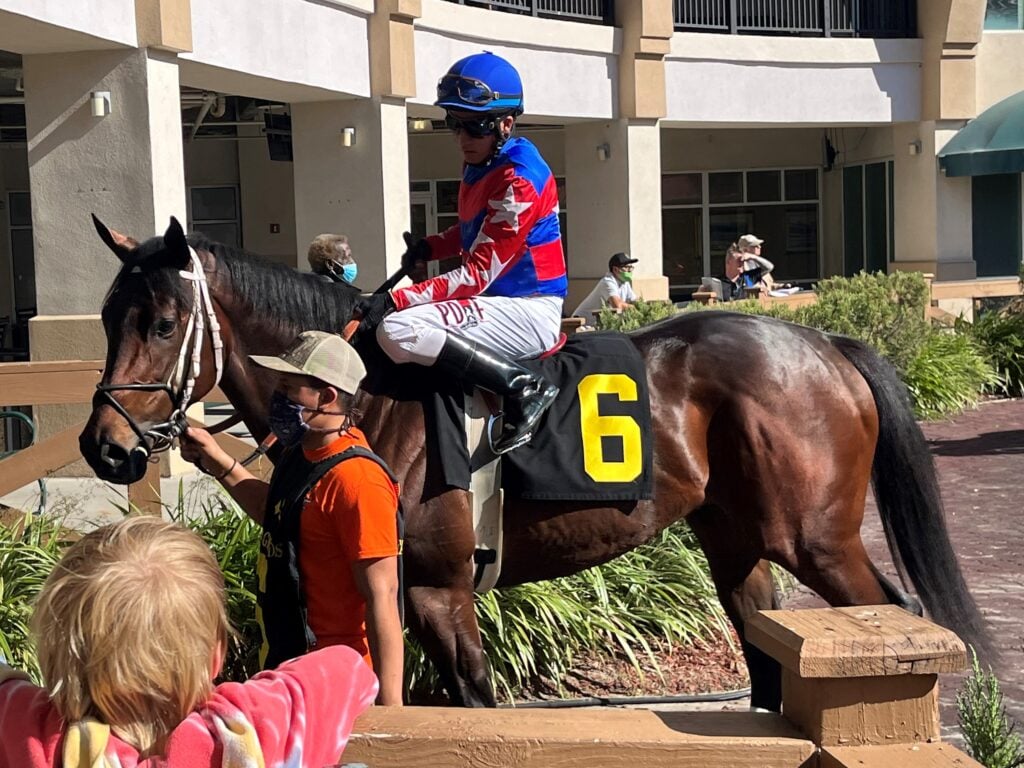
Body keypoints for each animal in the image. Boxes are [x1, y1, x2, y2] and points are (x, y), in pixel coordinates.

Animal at [79, 217, 991, 708]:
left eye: (162, 322)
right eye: (105, 316)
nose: (104, 446)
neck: (371, 398)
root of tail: (822, 341)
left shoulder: (438, 589)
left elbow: (476, 701)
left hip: (817, 540)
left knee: (892, 618)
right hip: (735, 540)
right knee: (766, 647)